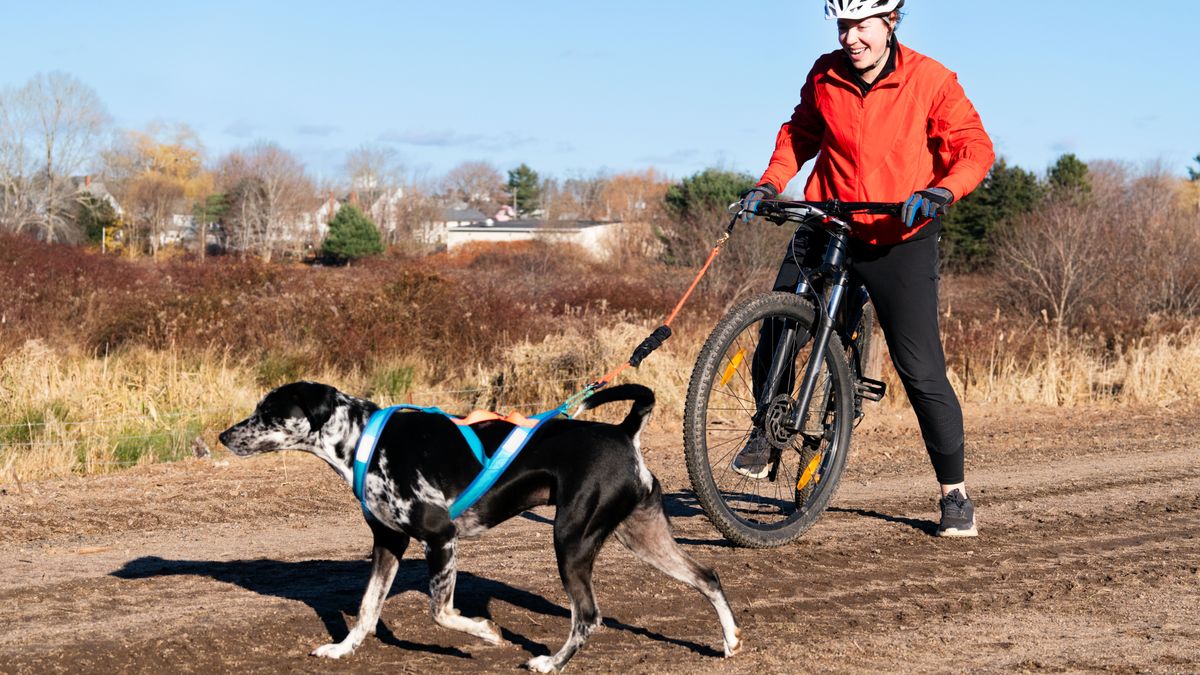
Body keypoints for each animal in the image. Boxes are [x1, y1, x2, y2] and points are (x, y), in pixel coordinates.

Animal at [217, 381, 739, 667]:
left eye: (269, 413)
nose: (223, 436)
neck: (364, 440)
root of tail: (623, 432)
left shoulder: (440, 539)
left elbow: (441, 612)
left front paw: (488, 634)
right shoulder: (388, 542)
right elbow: (366, 610)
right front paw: (342, 650)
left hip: (570, 541)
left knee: (588, 616)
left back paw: (550, 663)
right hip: (642, 537)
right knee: (707, 576)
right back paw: (731, 640)